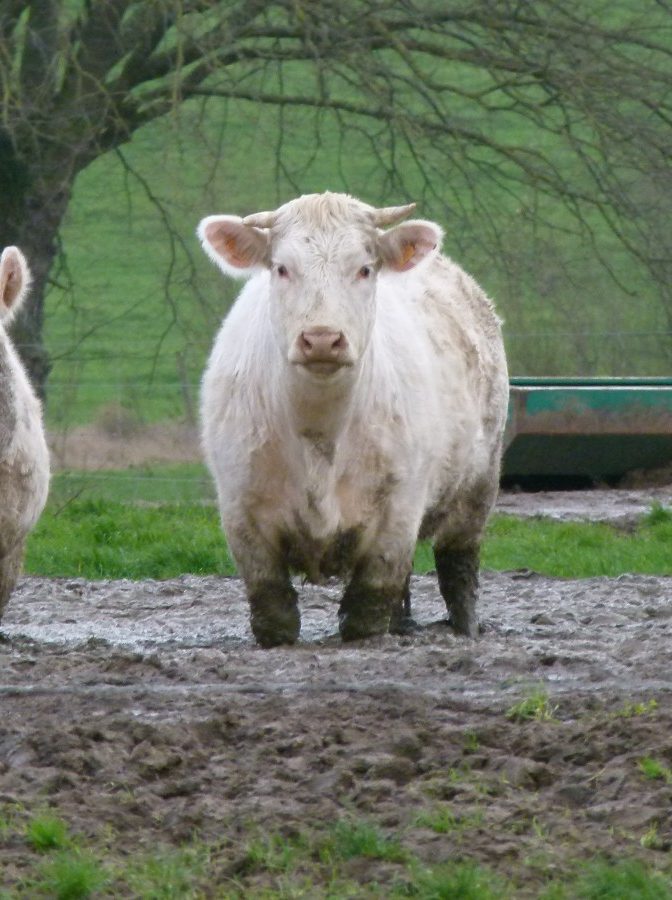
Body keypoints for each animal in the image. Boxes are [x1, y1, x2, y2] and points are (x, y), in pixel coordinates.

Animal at [200, 192, 510, 648]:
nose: (322, 339)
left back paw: (465, 629)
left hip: (479, 485)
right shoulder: (241, 509)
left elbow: (368, 611)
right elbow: (275, 616)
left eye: (364, 268)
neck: (319, 432)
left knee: (457, 567)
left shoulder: (398, 512)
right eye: (282, 268)